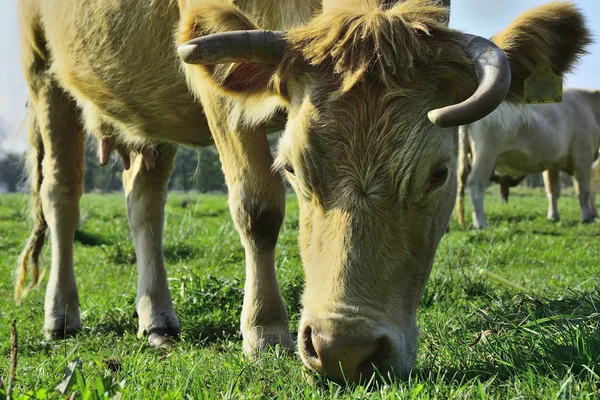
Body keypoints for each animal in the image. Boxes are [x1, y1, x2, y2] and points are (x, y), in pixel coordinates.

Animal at [458, 88, 596, 230]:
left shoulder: (552, 164)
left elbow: (553, 190)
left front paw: (553, 216)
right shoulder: (583, 155)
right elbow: (583, 190)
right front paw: (587, 218)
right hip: (486, 154)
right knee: (476, 183)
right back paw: (480, 223)